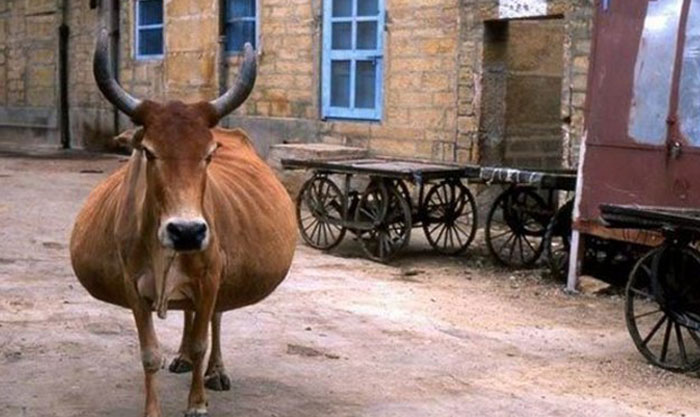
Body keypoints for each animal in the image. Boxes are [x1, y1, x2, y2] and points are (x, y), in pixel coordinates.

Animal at [70, 30, 297, 417]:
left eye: (209, 154)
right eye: (148, 151)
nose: (187, 231)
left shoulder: (211, 277)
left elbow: (202, 340)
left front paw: (197, 403)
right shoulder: (132, 286)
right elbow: (149, 354)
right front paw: (153, 408)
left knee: (214, 319)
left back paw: (215, 371)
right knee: (189, 318)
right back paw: (181, 358)